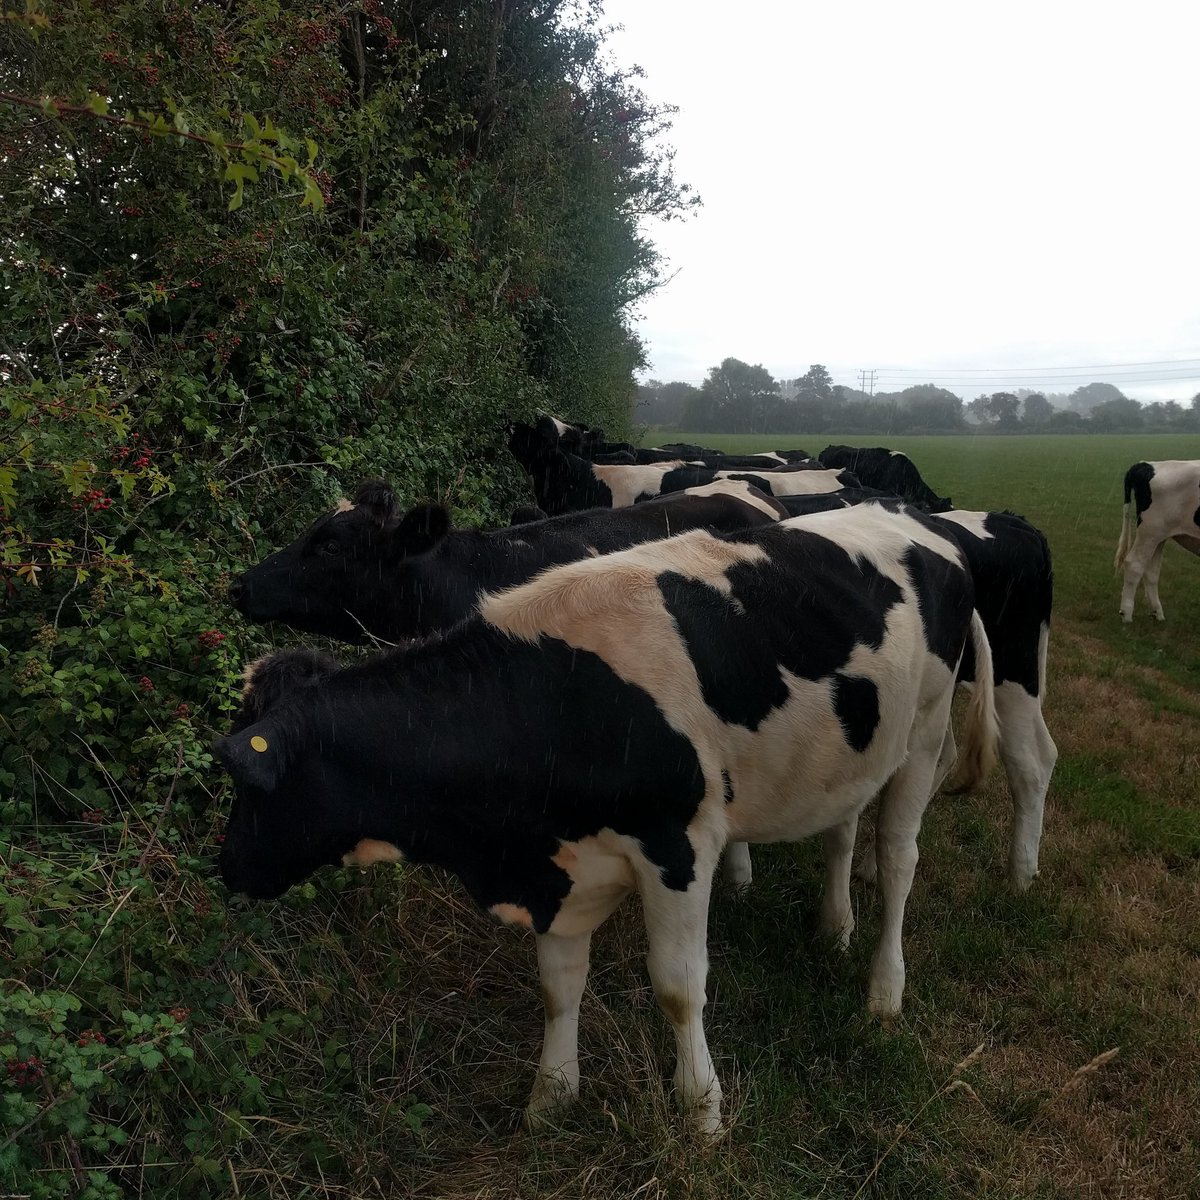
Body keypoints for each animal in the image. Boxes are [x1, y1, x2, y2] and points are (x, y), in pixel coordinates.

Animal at [217, 502, 997, 1133]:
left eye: (252, 783)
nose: (226, 868)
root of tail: (919, 521)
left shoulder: (678, 847)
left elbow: (679, 988)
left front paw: (702, 1111)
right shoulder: (558, 862)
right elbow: (558, 984)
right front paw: (551, 1096)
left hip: (924, 734)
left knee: (897, 861)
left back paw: (884, 991)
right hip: (852, 750)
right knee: (840, 829)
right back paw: (834, 927)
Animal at [1115, 460, 1200, 622]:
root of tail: (1146, 464)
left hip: (1159, 536)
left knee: (1151, 571)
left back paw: (1157, 613)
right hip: (1150, 531)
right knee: (1135, 564)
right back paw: (1126, 615)